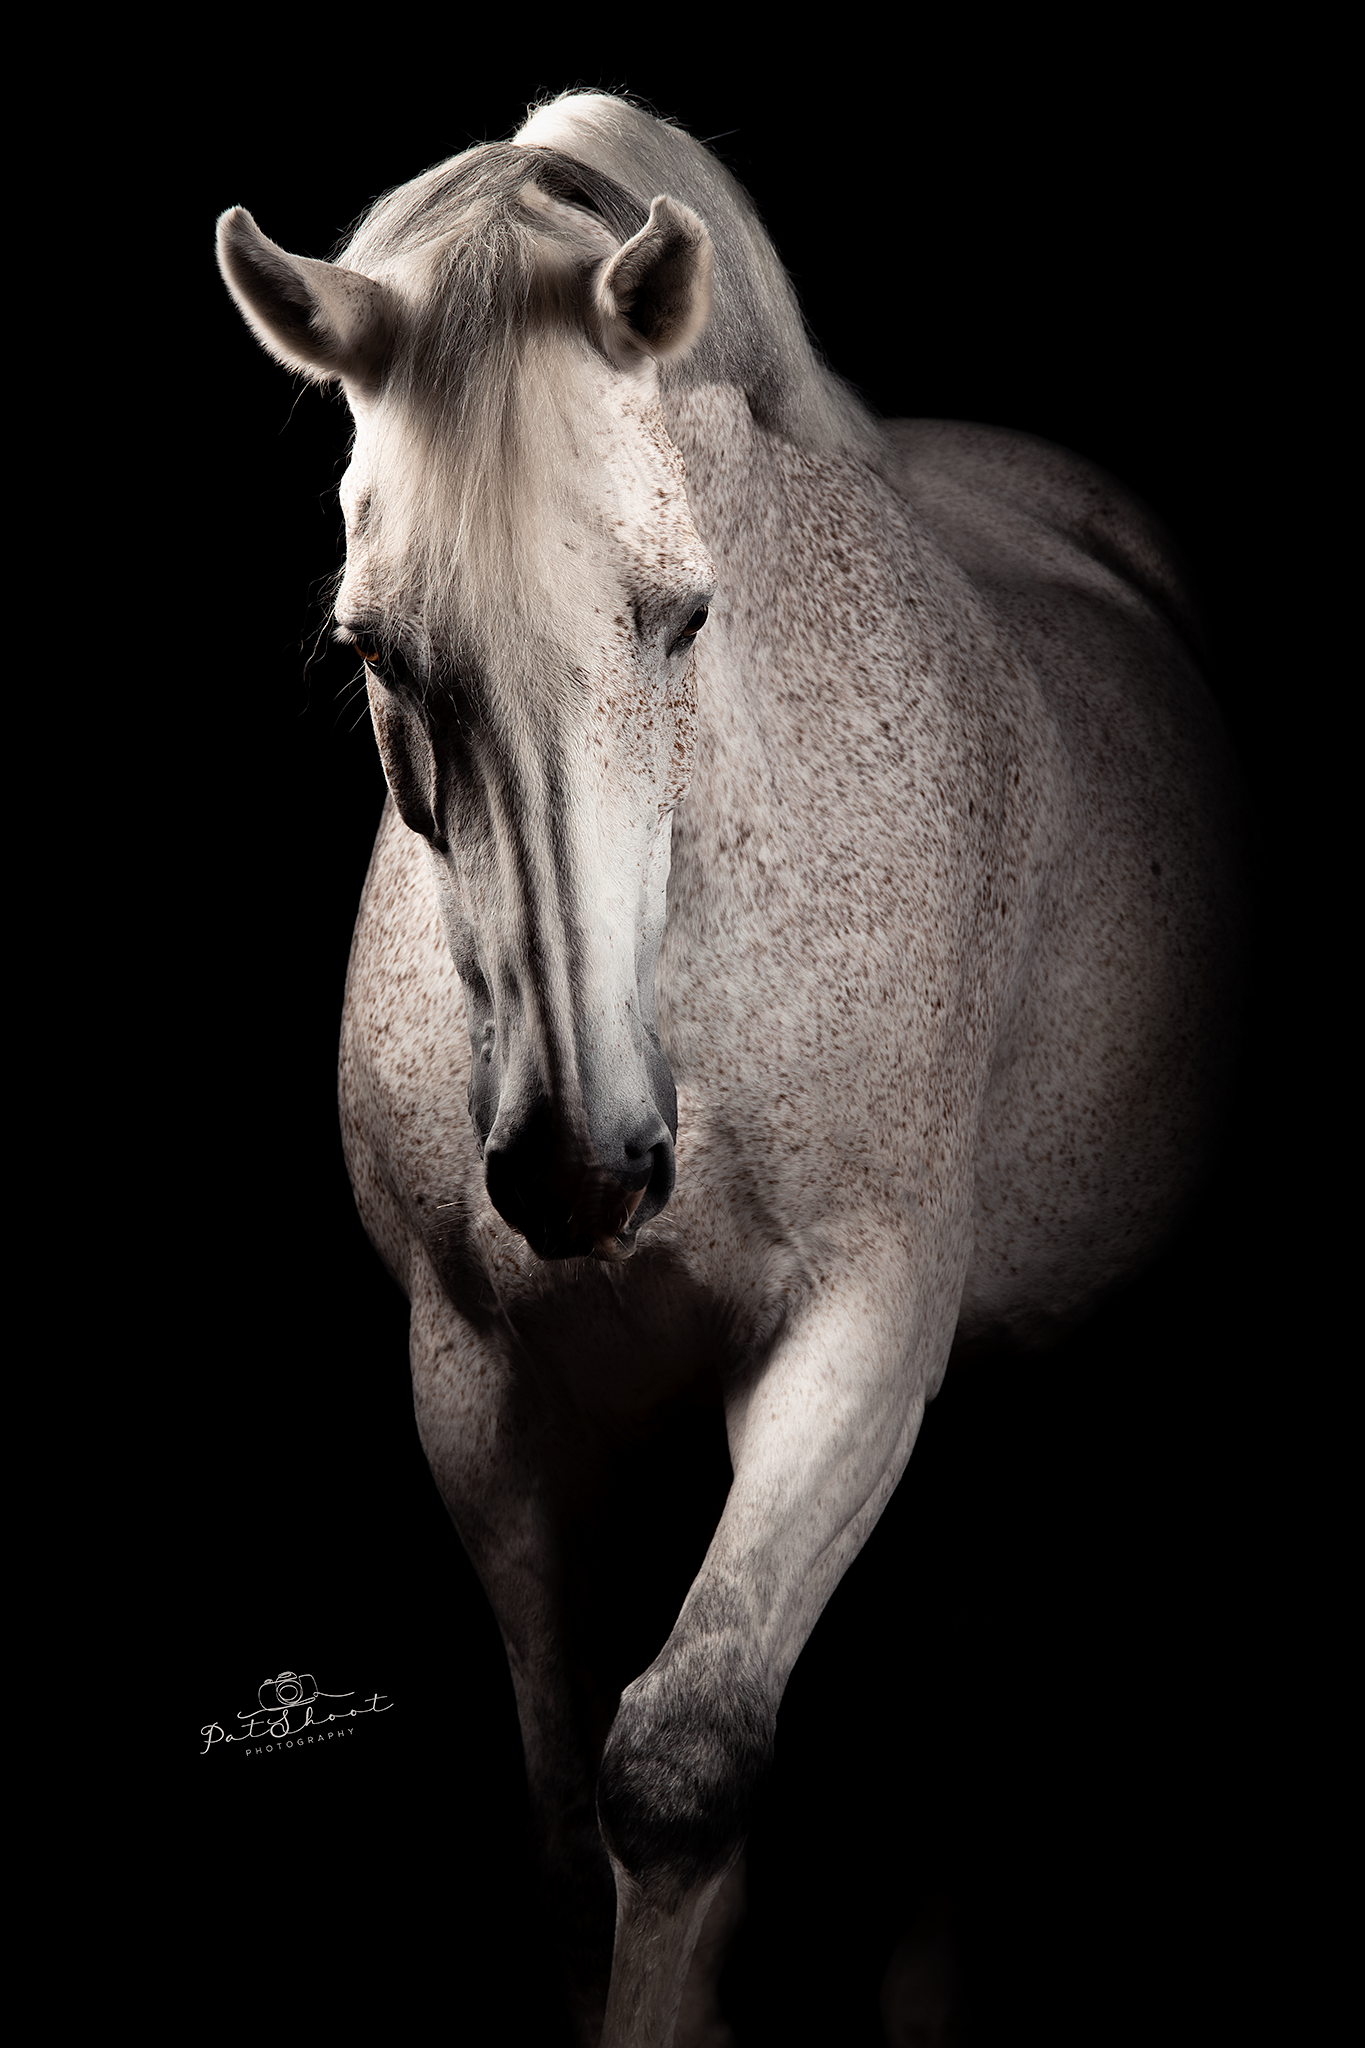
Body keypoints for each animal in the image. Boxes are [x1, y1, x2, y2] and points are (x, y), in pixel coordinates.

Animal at [217, 89, 1244, 2046]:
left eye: (679, 614)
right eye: (373, 649)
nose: (581, 1167)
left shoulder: (859, 1335)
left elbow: (679, 1767)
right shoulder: (479, 1383)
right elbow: (567, 1820)